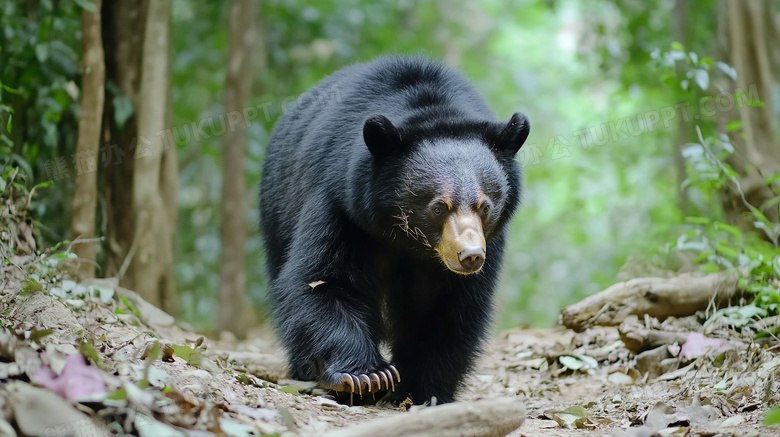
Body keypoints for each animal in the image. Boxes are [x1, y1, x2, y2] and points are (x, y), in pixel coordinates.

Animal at [262, 55, 532, 406]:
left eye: (485, 206)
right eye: (438, 207)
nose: (470, 256)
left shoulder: (488, 243)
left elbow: (450, 308)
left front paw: (422, 390)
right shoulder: (341, 203)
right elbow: (323, 280)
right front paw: (366, 377)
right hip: (277, 206)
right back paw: (306, 372)